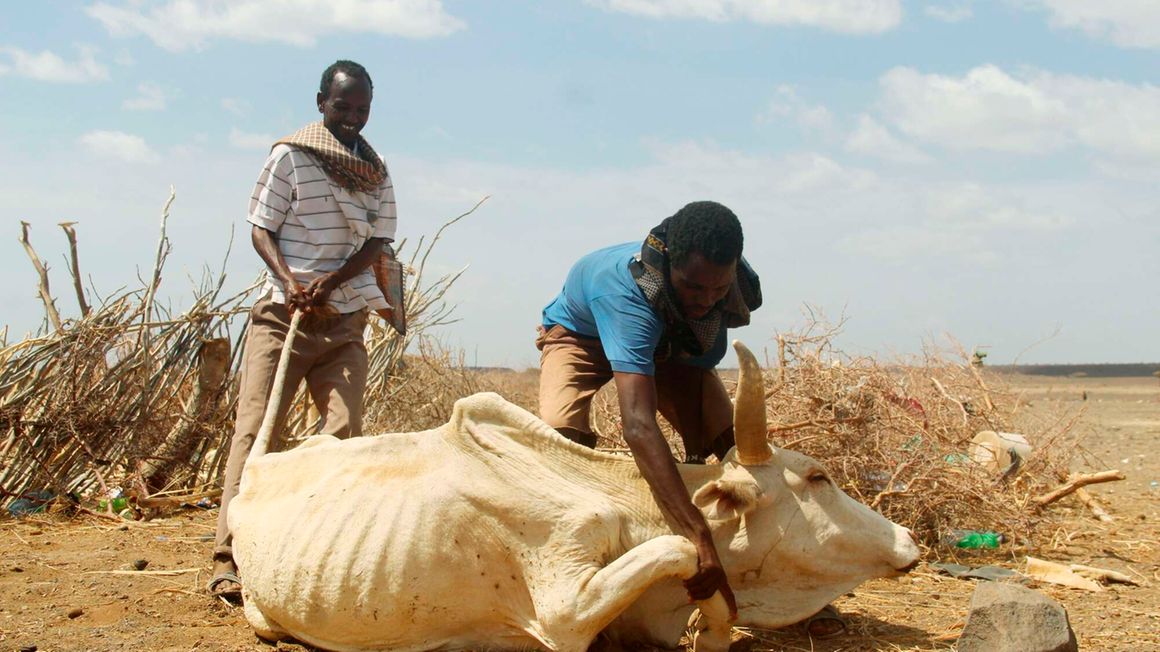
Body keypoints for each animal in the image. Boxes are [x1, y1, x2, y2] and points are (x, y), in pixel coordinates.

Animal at [228, 341, 914, 649]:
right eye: (817, 476)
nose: (908, 541)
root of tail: (256, 473)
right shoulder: (563, 610)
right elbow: (682, 552)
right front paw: (715, 607)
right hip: (263, 613)